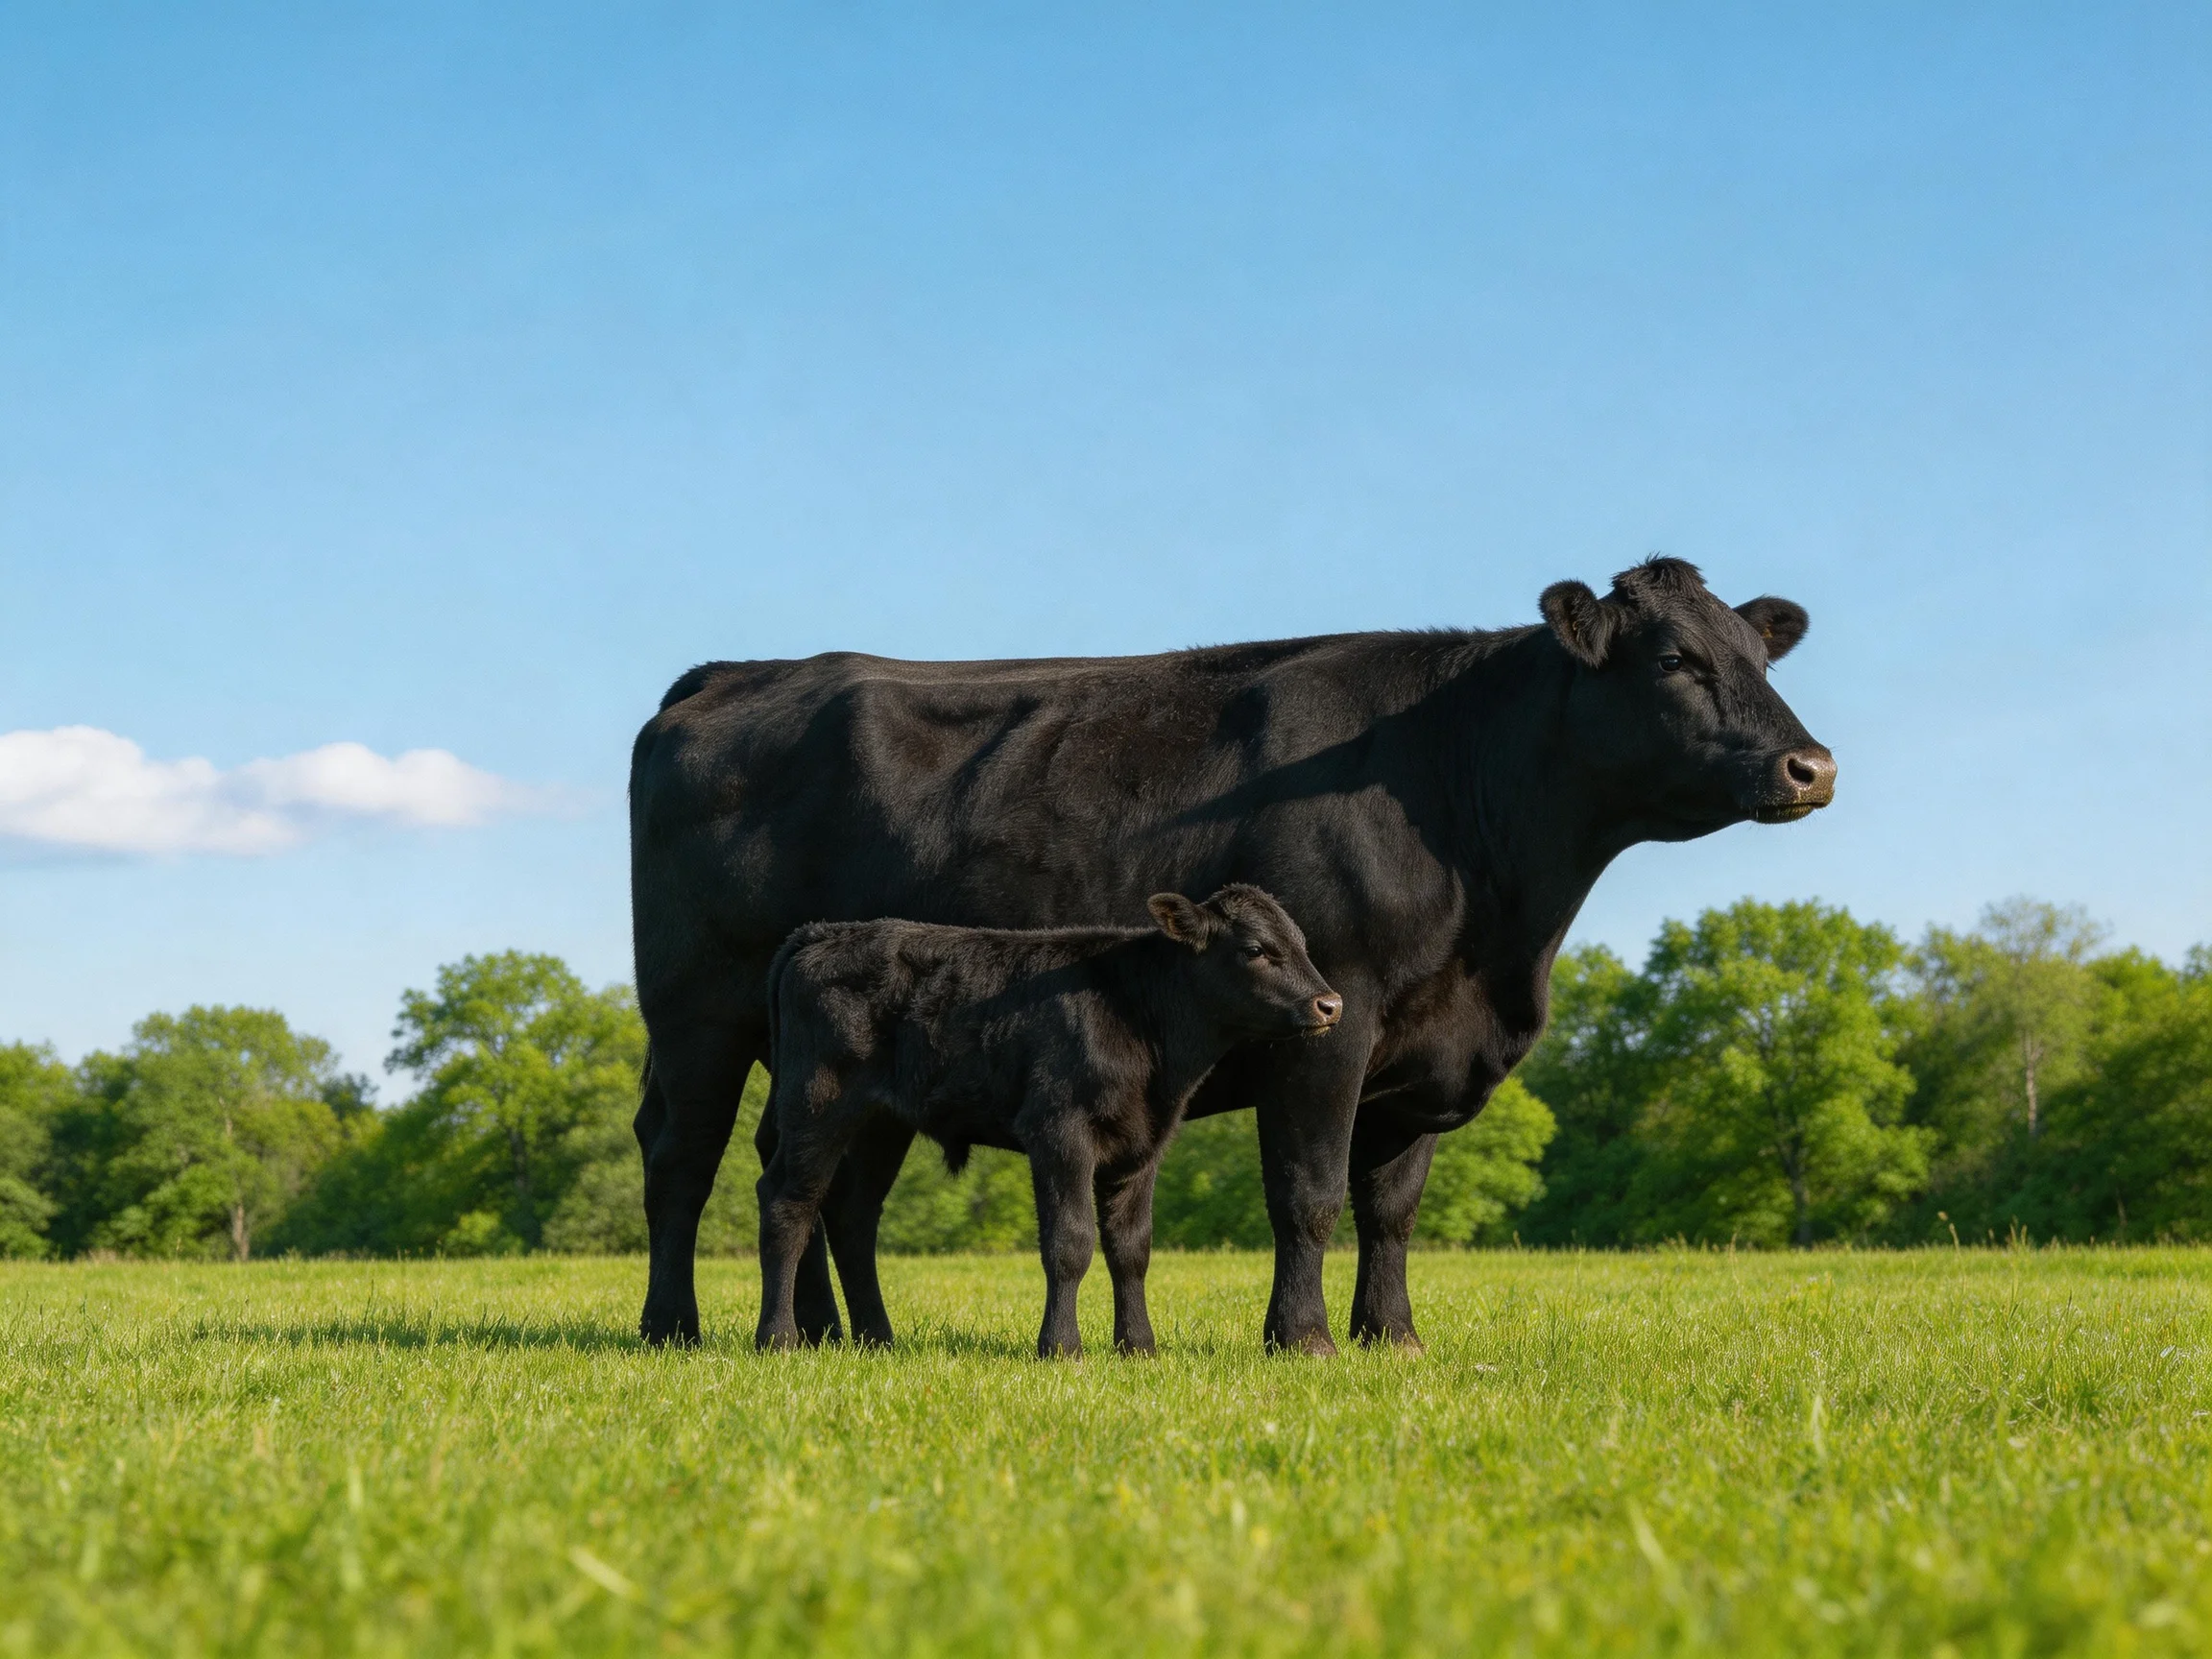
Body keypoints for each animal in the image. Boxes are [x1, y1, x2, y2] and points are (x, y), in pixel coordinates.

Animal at [755, 886, 1341, 1357]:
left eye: (1302, 944)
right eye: (1255, 949)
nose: (1330, 1004)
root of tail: (825, 932)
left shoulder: (1143, 1145)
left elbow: (1132, 1249)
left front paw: (1138, 1347)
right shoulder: (1061, 1134)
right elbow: (1070, 1241)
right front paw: (1061, 1347)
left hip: (880, 1124)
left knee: (852, 1212)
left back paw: (877, 1339)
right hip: (816, 1103)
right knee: (787, 1201)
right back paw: (778, 1338)